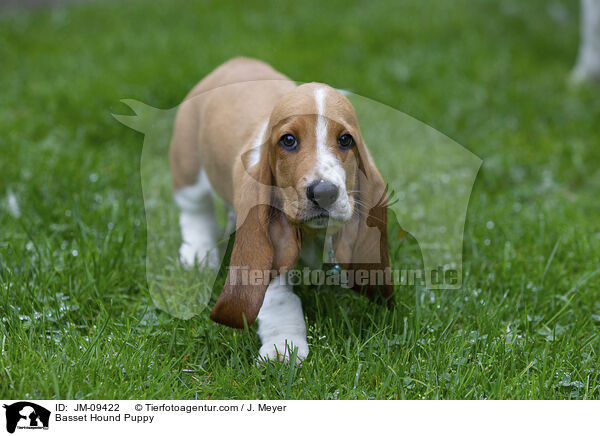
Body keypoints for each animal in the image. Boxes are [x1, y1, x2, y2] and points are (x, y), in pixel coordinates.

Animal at [169, 57, 394, 362]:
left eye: (346, 140)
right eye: (288, 140)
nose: (324, 193)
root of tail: (236, 61)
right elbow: (279, 299)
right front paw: (284, 349)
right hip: (188, 163)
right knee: (195, 211)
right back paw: (198, 254)